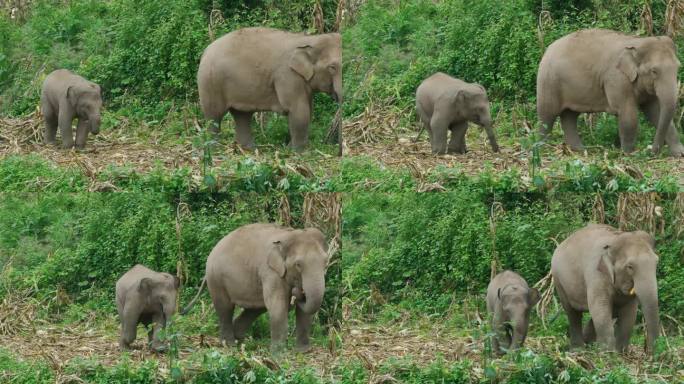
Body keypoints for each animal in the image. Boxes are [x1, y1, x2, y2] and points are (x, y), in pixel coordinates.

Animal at [182, 224, 332, 352]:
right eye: (298, 265)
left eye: (326, 262)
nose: (298, 292)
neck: (289, 235)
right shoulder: (270, 272)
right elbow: (278, 306)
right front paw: (278, 353)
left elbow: (304, 312)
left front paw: (303, 351)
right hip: (216, 279)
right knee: (225, 308)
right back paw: (229, 344)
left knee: (255, 308)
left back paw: (239, 339)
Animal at [198, 27, 342, 152]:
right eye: (332, 67)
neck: (310, 39)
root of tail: (205, 50)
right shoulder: (287, 76)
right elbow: (299, 111)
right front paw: (299, 153)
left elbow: (308, 111)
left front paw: (289, 149)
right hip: (210, 82)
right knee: (214, 116)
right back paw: (214, 149)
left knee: (242, 115)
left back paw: (249, 150)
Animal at [536, 28, 680, 158]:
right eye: (654, 71)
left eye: (678, 67)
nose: (651, 152)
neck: (637, 42)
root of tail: (547, 49)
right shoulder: (616, 79)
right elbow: (627, 114)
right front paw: (629, 155)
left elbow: (655, 111)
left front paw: (679, 154)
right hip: (548, 81)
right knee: (547, 115)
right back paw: (542, 149)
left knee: (569, 116)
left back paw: (581, 151)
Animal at [552, 225, 660, 354]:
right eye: (630, 267)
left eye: (656, 262)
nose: (649, 351)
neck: (615, 238)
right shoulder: (596, 275)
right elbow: (600, 307)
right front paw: (608, 353)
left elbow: (629, 313)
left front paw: (620, 353)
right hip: (559, 281)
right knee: (573, 313)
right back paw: (578, 349)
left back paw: (588, 343)